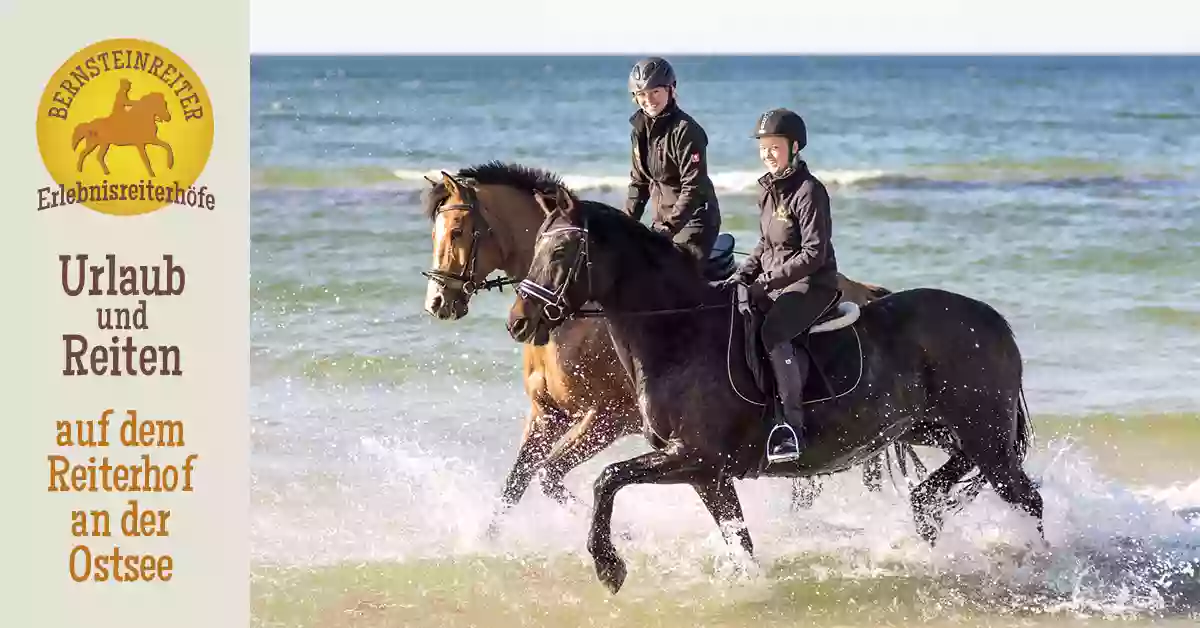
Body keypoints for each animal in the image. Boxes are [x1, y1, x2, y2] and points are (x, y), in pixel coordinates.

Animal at [422, 160, 926, 530]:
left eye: (458, 232)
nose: (438, 301)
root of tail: (866, 290)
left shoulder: (606, 420)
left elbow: (548, 477)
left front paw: (623, 534)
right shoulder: (547, 415)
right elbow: (516, 484)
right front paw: (487, 541)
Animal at [504, 187, 1041, 595]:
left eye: (560, 252)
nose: (518, 323)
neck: (681, 334)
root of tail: (994, 321)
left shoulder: (694, 457)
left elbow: (607, 478)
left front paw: (608, 566)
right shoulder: (708, 475)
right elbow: (738, 540)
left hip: (984, 434)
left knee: (1026, 498)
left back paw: (1036, 559)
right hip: (937, 429)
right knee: (947, 486)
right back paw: (929, 517)